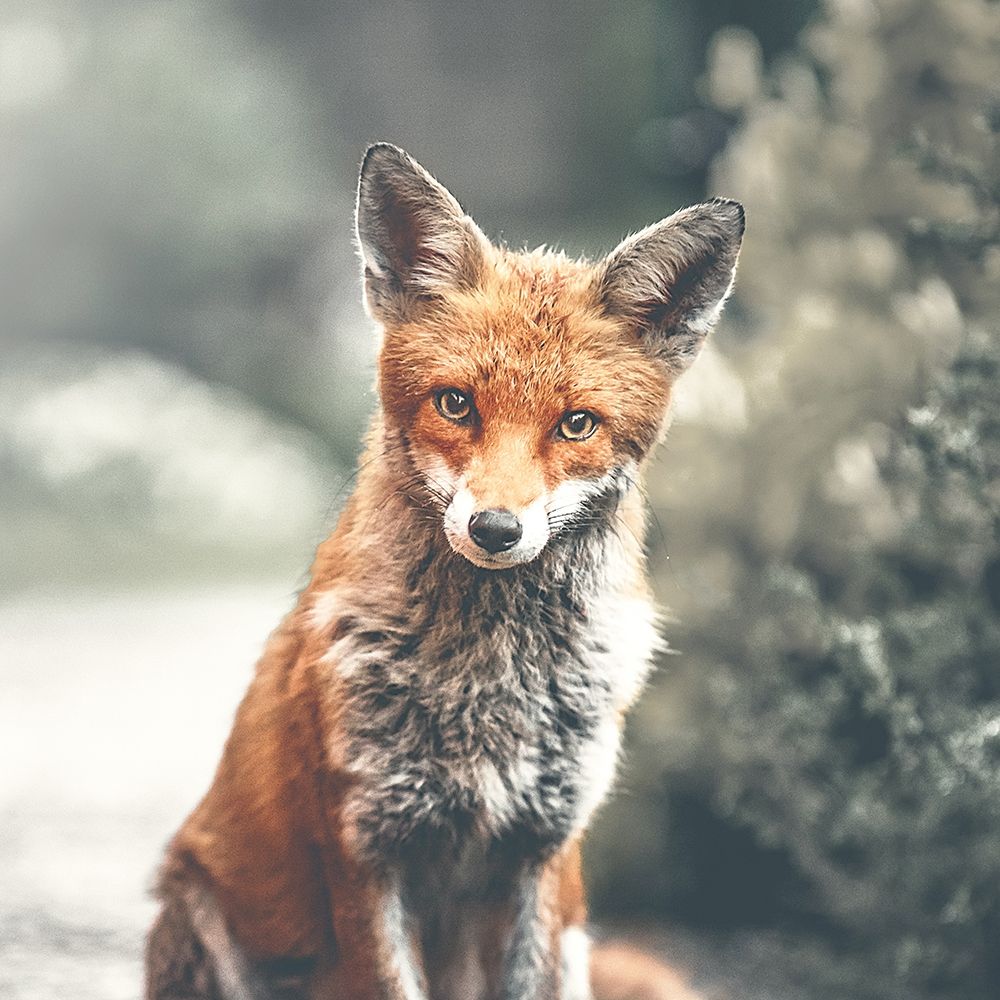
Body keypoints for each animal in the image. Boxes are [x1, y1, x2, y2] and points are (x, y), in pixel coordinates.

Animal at [145, 143, 743, 1000]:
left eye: (577, 424)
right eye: (456, 404)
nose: (495, 529)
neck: (490, 685)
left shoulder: (543, 849)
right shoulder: (365, 848)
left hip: (574, 934)